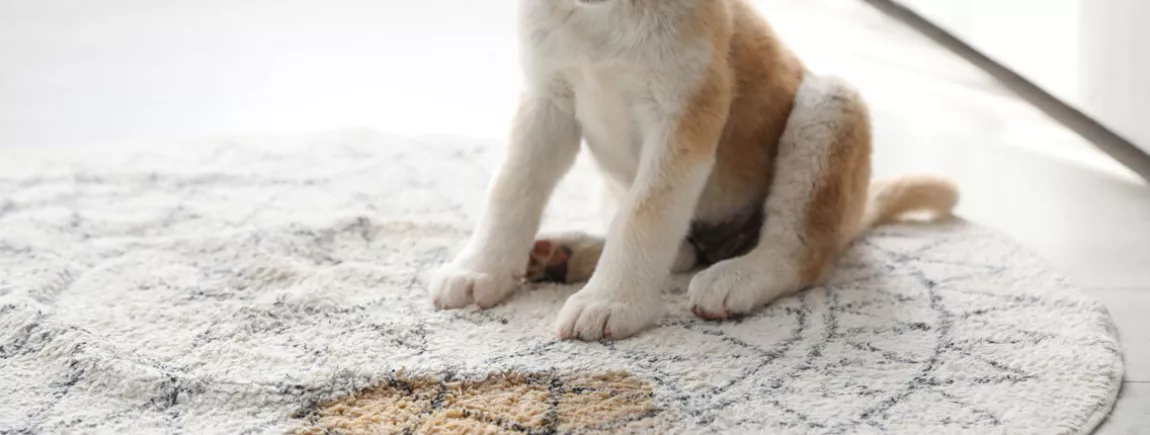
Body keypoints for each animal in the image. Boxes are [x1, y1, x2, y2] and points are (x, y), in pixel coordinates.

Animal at [427, 0, 956, 342]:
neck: (604, 15)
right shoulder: (545, 101)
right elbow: (511, 189)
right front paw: (481, 268)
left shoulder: (683, 117)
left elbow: (645, 216)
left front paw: (612, 301)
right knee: (681, 250)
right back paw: (567, 253)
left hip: (827, 104)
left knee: (798, 253)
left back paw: (739, 276)